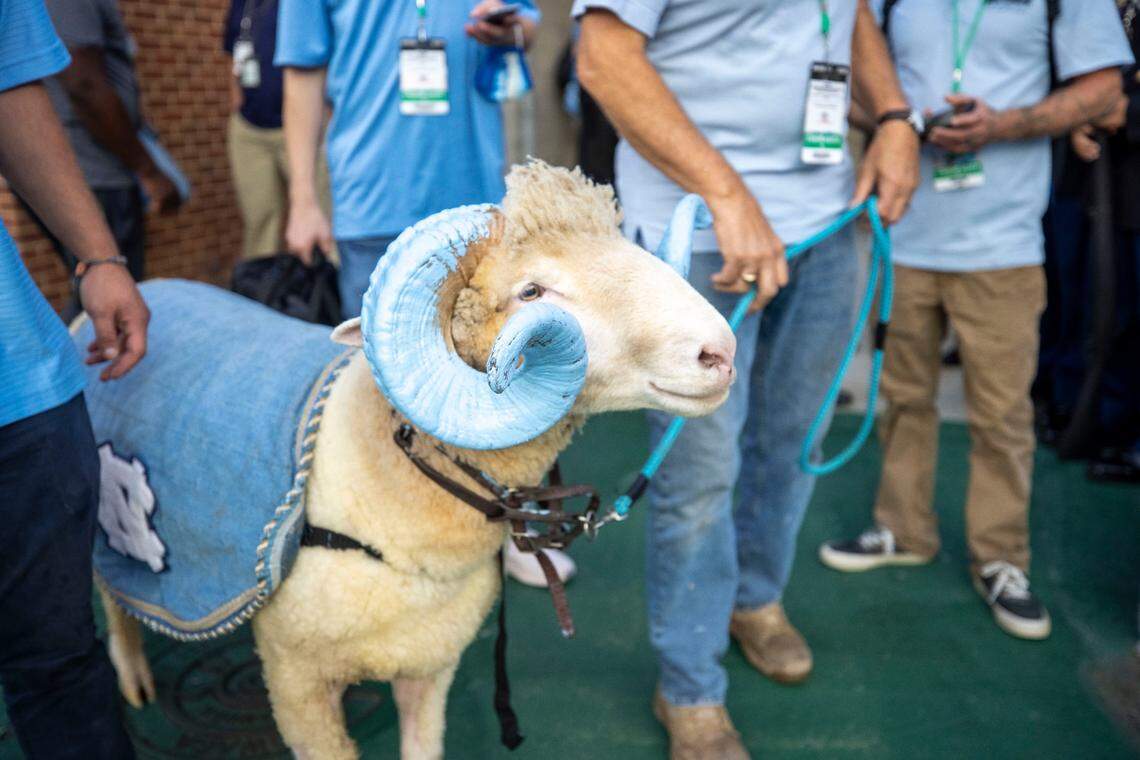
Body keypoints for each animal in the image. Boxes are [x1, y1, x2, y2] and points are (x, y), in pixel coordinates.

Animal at [84, 161, 736, 759]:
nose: (722, 351)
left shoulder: (428, 666)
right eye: (531, 292)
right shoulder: (296, 686)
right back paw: (133, 678)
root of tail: (148, 289)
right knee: (110, 594)